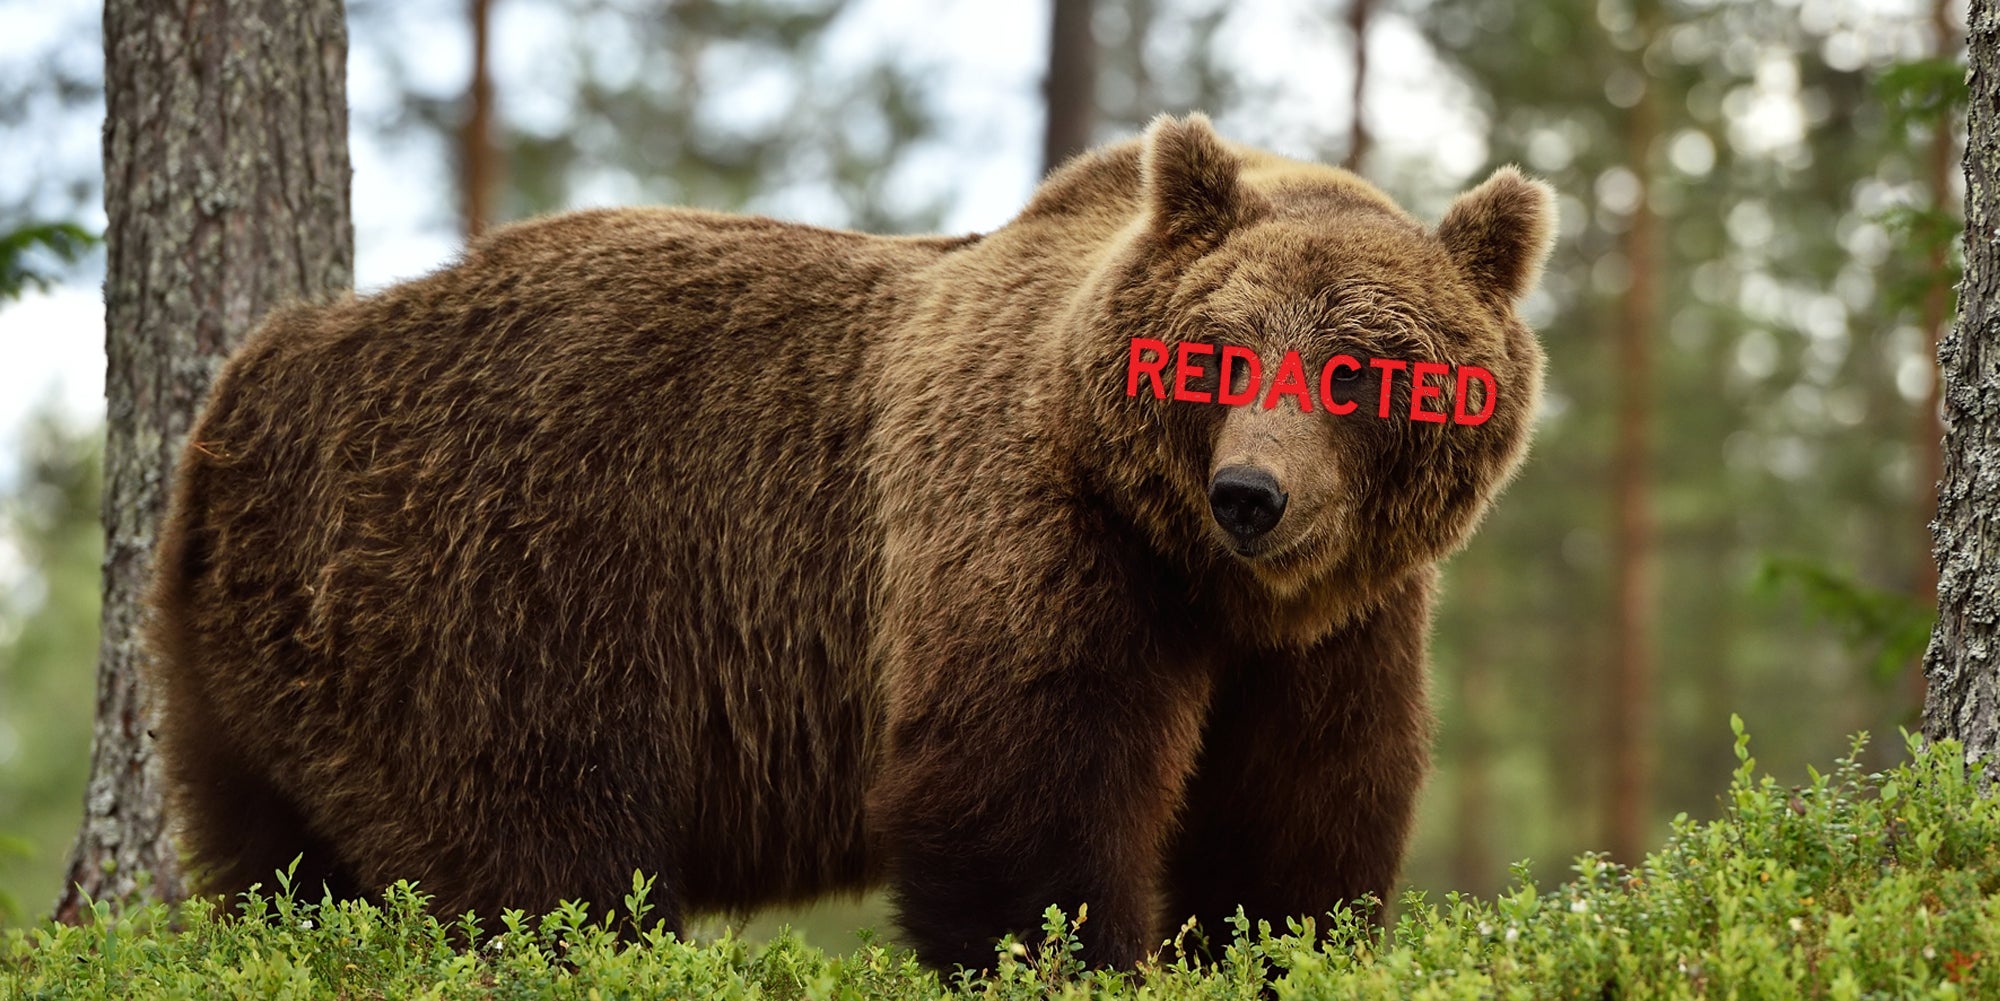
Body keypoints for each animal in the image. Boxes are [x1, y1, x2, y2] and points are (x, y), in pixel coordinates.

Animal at [147, 113, 1553, 971]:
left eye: (1361, 369)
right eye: (1220, 350)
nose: (1251, 493)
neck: (1207, 580)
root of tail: (250, 379)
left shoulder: (1339, 629)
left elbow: (1302, 818)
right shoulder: (1031, 528)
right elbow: (1020, 792)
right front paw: (1076, 952)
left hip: (255, 665)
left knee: (275, 863)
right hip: (498, 587)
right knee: (534, 860)